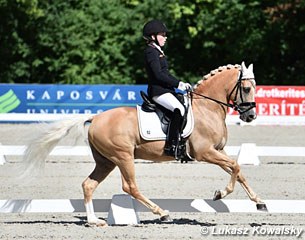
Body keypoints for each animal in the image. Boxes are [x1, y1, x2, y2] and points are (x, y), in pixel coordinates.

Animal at [20, 62, 266, 227]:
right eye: (246, 89)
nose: (251, 116)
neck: (207, 108)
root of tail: (96, 118)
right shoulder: (205, 152)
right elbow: (235, 168)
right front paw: (219, 194)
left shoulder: (217, 151)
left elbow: (238, 170)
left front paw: (259, 202)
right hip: (123, 157)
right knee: (130, 187)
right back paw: (162, 212)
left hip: (106, 161)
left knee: (88, 184)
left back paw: (94, 221)